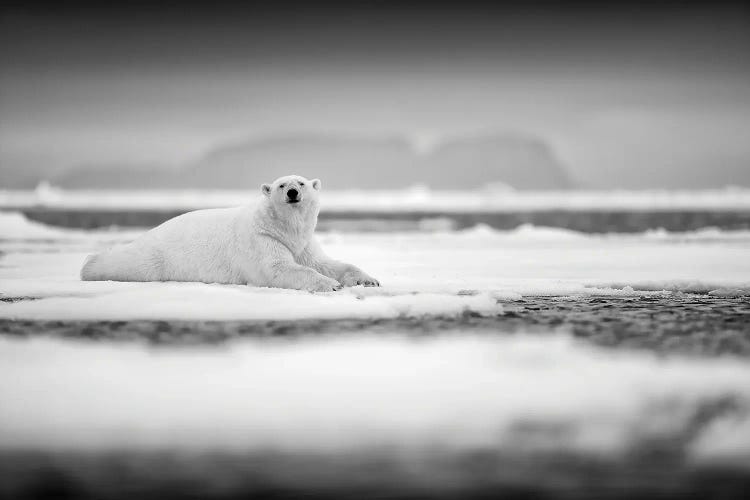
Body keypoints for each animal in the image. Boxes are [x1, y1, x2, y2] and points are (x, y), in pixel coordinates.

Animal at [81, 176, 382, 292]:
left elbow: (325, 262)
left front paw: (369, 280)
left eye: (302, 183)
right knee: (128, 261)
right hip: (154, 256)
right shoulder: (261, 240)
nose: (292, 192)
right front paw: (331, 284)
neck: (284, 228)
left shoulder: (304, 244)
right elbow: (277, 269)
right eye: (280, 184)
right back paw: (89, 264)